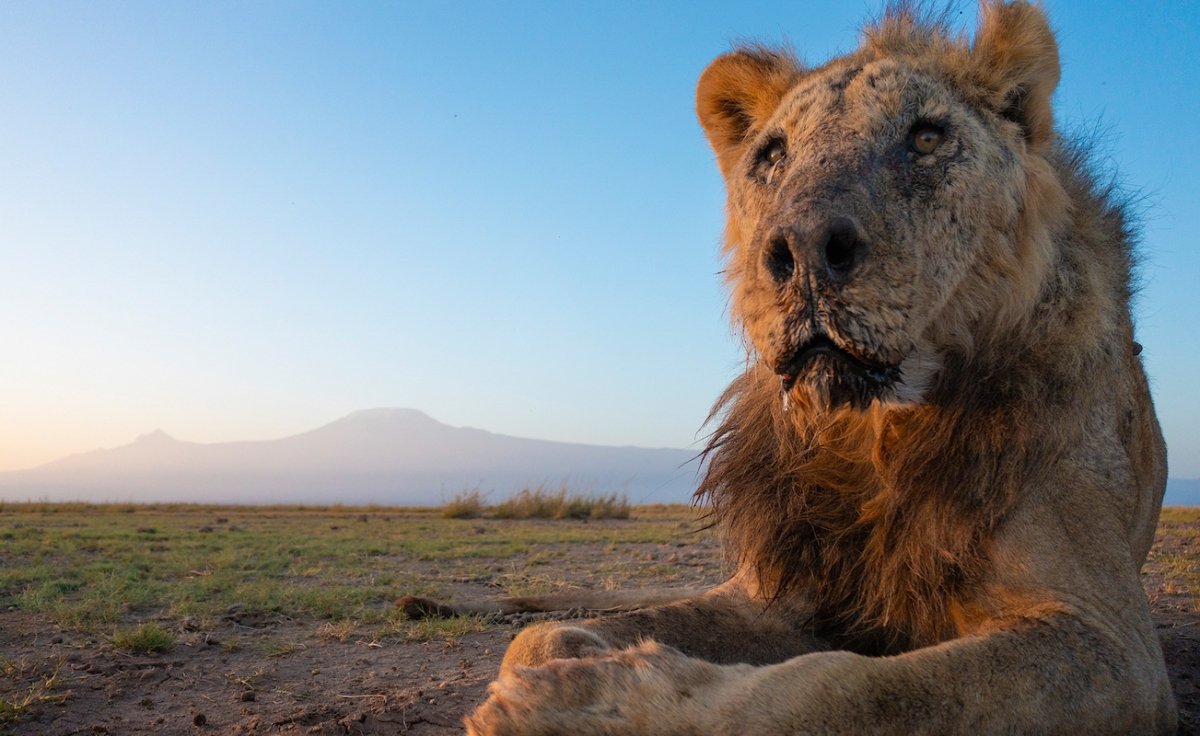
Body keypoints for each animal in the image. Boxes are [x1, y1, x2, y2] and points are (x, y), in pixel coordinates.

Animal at [400, 2, 1171, 729]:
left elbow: (852, 689)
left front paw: (588, 705)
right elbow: (539, 638)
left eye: (926, 137)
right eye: (772, 155)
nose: (801, 250)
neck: (871, 433)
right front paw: (572, 660)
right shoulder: (777, 590)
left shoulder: (1107, 640)